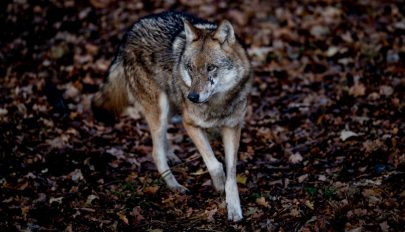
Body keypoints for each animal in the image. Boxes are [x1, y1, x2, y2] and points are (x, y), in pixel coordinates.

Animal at [92, 11, 251, 221]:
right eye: (190, 67)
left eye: (211, 68)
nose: (192, 97)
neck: (217, 104)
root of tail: (130, 31)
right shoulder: (189, 124)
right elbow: (215, 164)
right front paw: (218, 185)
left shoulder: (232, 127)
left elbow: (232, 172)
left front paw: (233, 208)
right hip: (160, 111)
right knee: (155, 152)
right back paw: (175, 186)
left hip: (170, 110)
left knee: (162, 141)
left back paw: (172, 156)